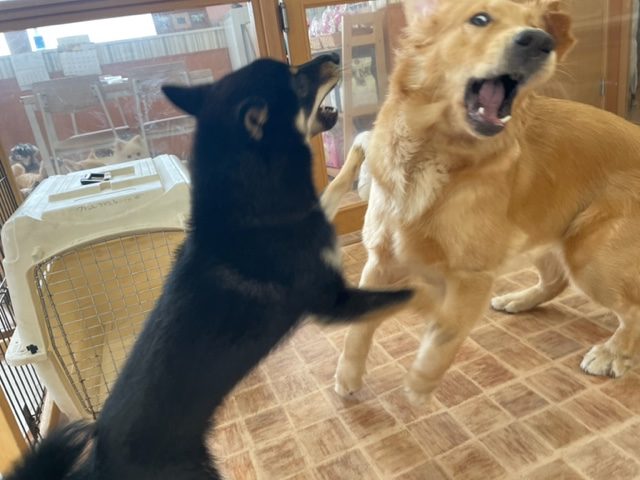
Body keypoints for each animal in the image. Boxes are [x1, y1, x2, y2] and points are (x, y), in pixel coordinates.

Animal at [6, 54, 412, 480]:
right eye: (298, 80)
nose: (332, 56)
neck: (249, 208)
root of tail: (99, 461)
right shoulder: (332, 301)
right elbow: (400, 297)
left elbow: (334, 189)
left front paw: (358, 155)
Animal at [331, 0, 640, 406]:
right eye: (480, 19)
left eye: (540, 28)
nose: (540, 41)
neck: (431, 156)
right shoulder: (381, 261)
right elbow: (356, 332)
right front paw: (348, 377)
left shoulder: (472, 279)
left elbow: (442, 337)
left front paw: (419, 385)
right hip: (542, 231)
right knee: (555, 280)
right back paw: (521, 300)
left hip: (590, 256)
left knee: (633, 309)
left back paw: (612, 353)